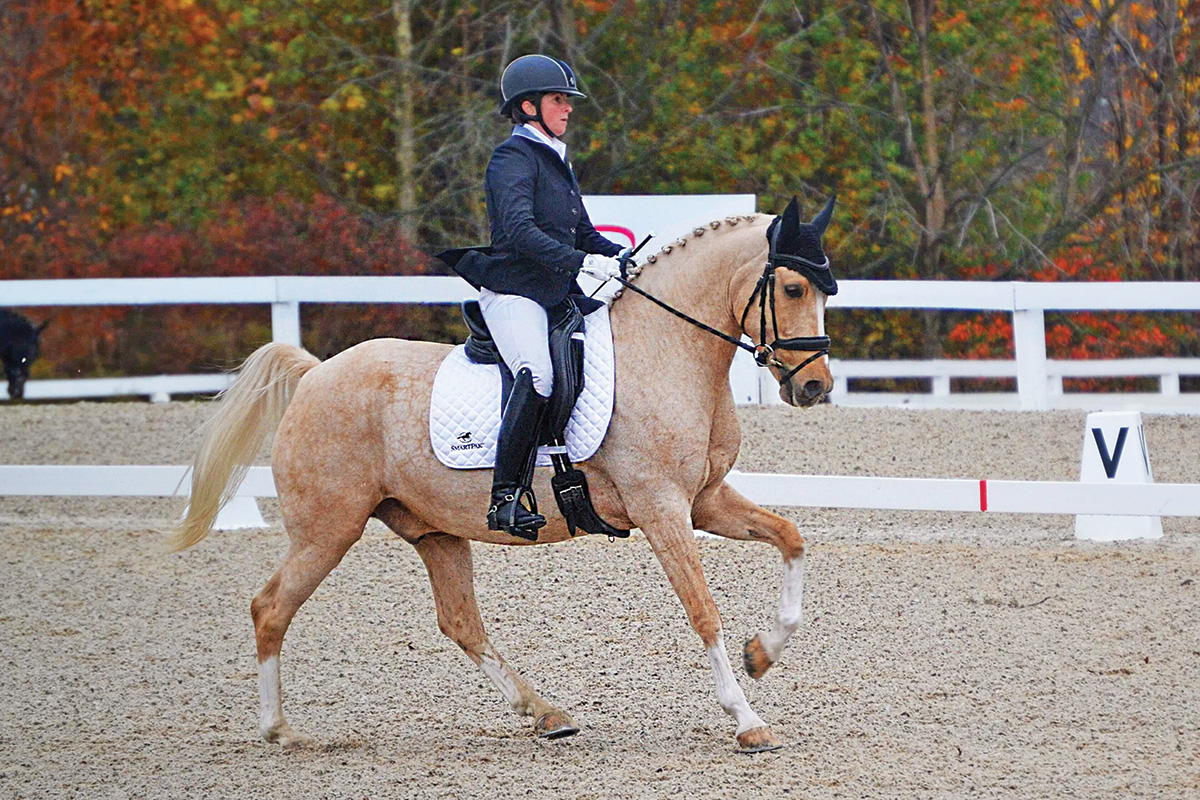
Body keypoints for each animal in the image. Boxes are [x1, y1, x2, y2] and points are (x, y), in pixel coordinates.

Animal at [171, 196, 835, 753]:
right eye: (793, 287)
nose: (814, 387)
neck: (665, 351)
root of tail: (313, 374)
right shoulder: (662, 508)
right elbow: (702, 609)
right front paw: (747, 719)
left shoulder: (704, 501)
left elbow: (791, 539)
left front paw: (762, 654)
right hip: (326, 532)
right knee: (270, 608)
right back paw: (279, 729)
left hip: (432, 531)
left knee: (460, 622)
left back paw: (546, 714)